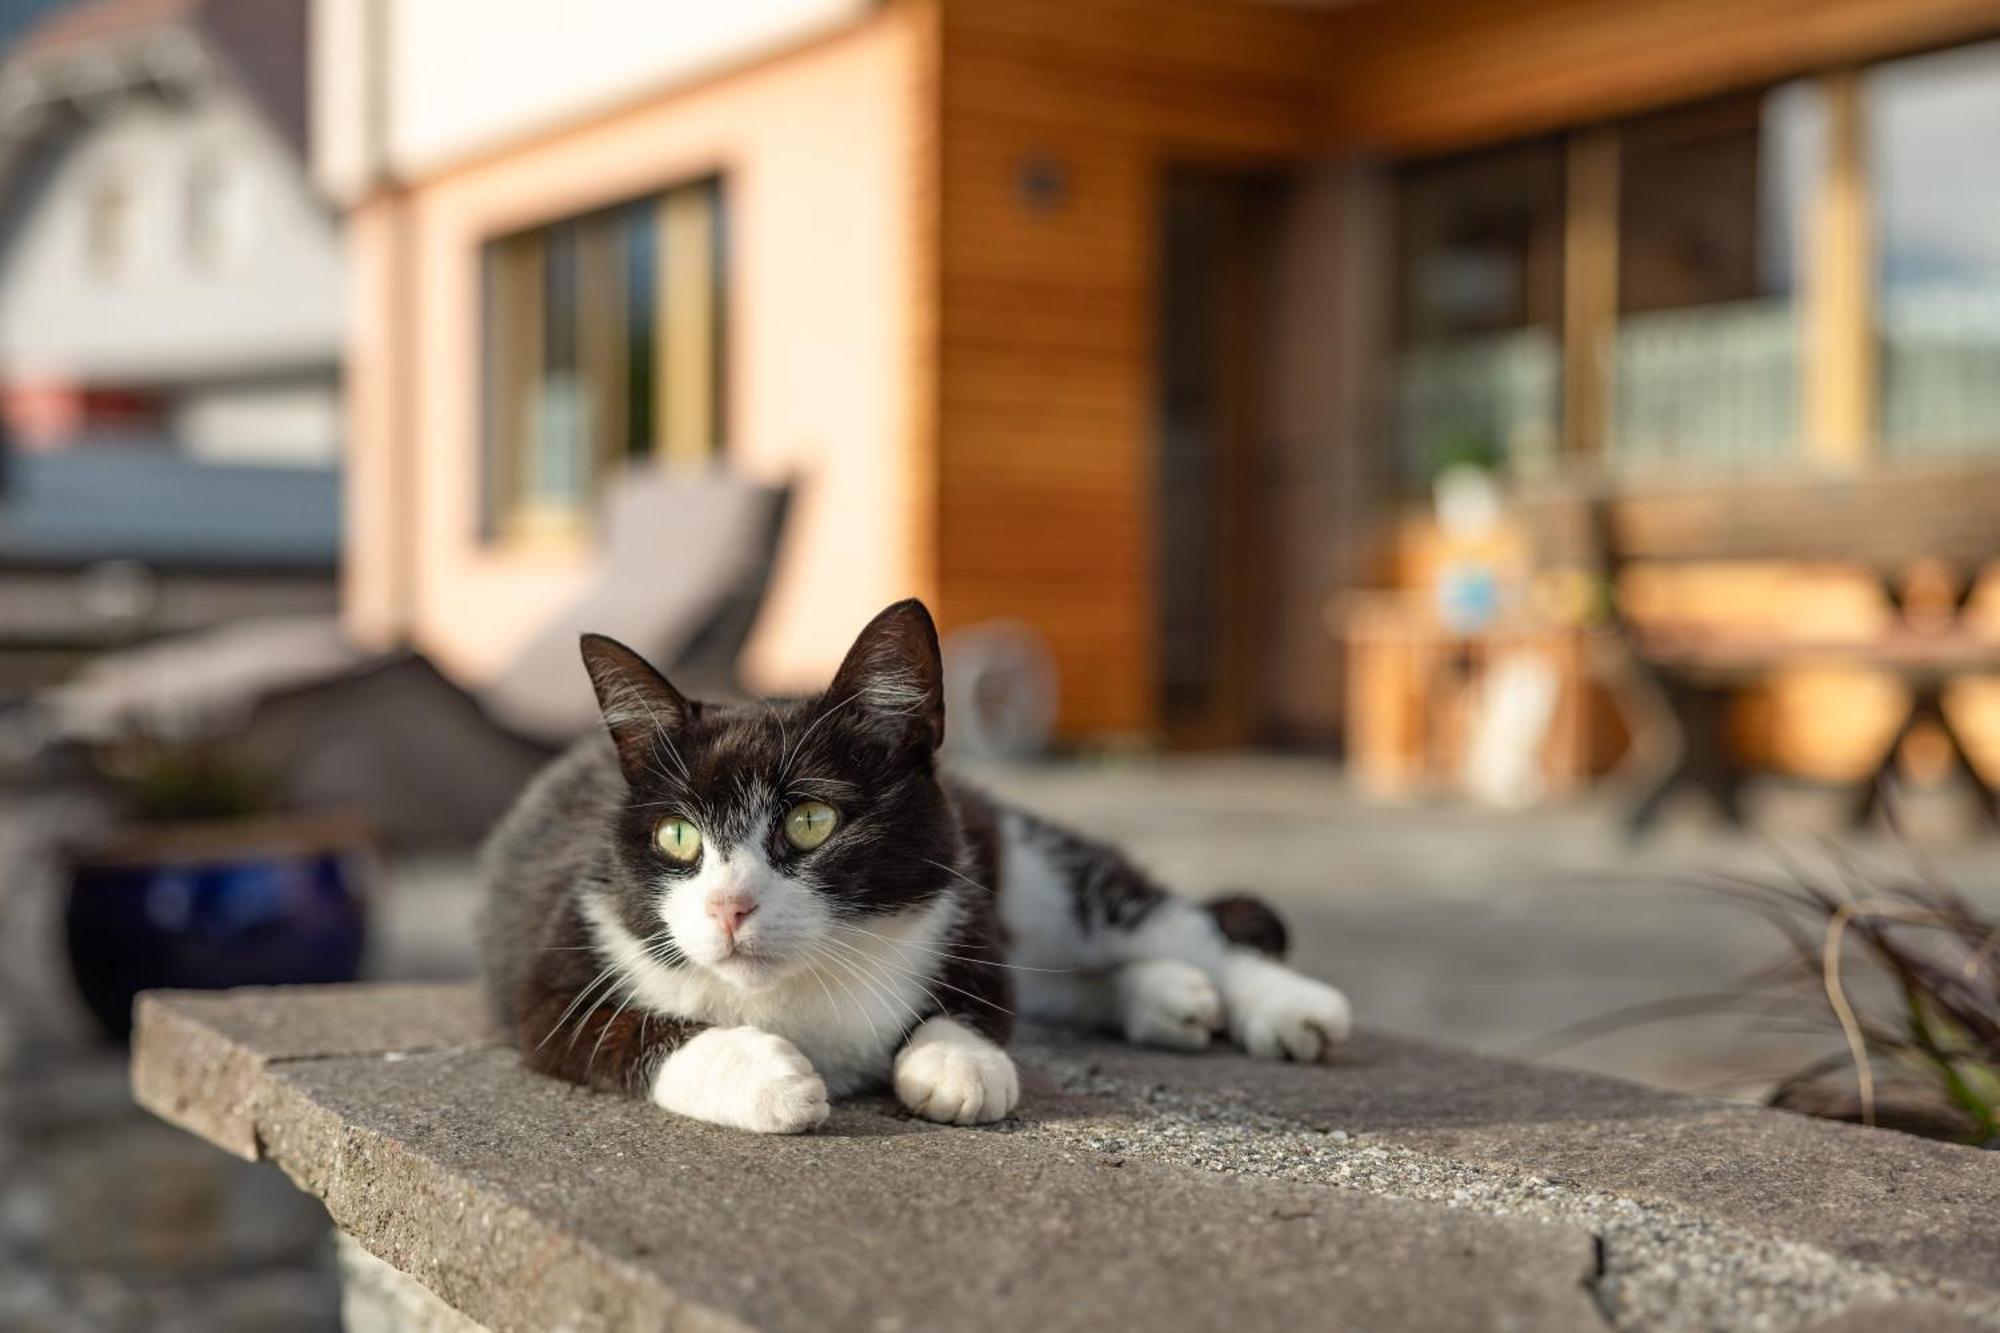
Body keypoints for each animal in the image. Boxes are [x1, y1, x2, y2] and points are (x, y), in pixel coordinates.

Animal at [480, 596, 1360, 1128]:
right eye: (677, 839)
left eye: (810, 820)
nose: (729, 906)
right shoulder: (560, 959)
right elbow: (618, 1032)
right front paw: (765, 1074)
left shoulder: (958, 892)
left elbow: (983, 996)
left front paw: (955, 1062)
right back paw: (1169, 997)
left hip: (1019, 858)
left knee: (1149, 916)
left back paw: (1282, 1004)